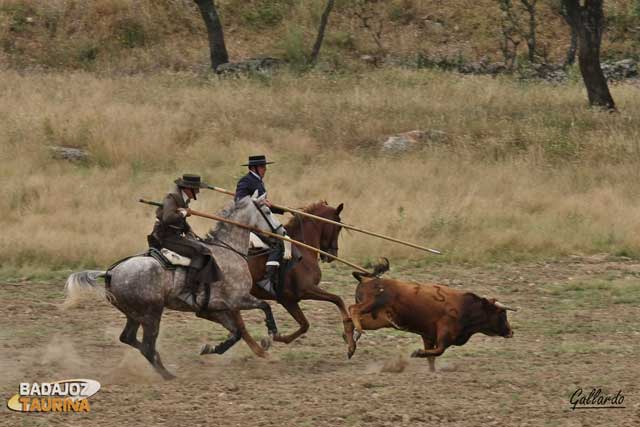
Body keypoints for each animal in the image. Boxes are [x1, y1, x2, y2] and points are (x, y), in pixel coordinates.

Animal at [66, 196, 278, 380]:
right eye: (267, 211)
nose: (280, 233)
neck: (228, 250)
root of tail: (111, 272)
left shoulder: (212, 309)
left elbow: (236, 333)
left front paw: (212, 349)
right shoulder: (236, 299)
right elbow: (264, 307)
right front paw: (270, 336)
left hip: (135, 315)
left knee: (130, 339)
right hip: (151, 315)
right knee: (147, 346)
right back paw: (168, 375)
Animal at [348, 260, 516, 372]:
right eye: (502, 313)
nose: (511, 332)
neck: (466, 307)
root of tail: (367, 279)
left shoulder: (428, 336)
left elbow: (432, 357)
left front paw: (431, 371)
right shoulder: (444, 332)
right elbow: (439, 351)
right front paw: (417, 353)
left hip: (376, 317)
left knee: (349, 320)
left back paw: (351, 347)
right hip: (372, 304)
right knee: (353, 309)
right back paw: (357, 333)